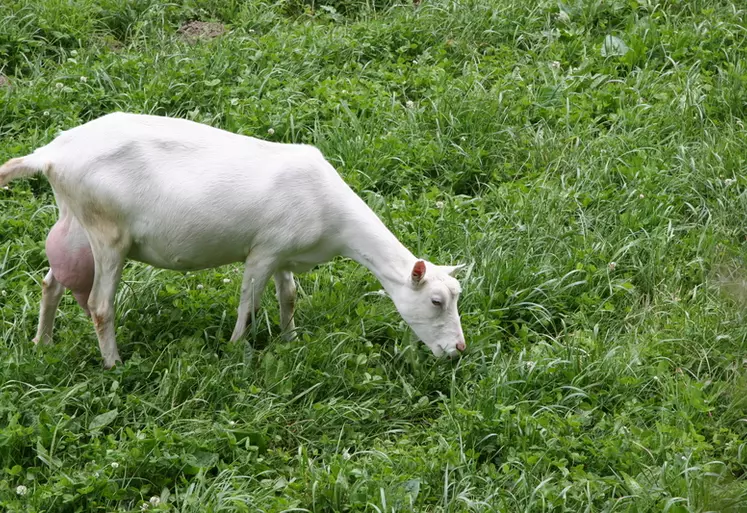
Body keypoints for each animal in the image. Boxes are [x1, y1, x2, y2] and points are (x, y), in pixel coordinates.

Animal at [1, 112, 468, 368]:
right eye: (435, 301)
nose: (459, 349)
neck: (332, 217)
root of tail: (51, 155)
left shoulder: (284, 255)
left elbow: (288, 297)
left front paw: (290, 341)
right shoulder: (263, 251)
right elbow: (249, 302)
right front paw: (236, 350)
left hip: (76, 225)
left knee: (51, 282)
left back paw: (42, 344)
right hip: (107, 233)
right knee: (99, 305)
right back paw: (115, 364)